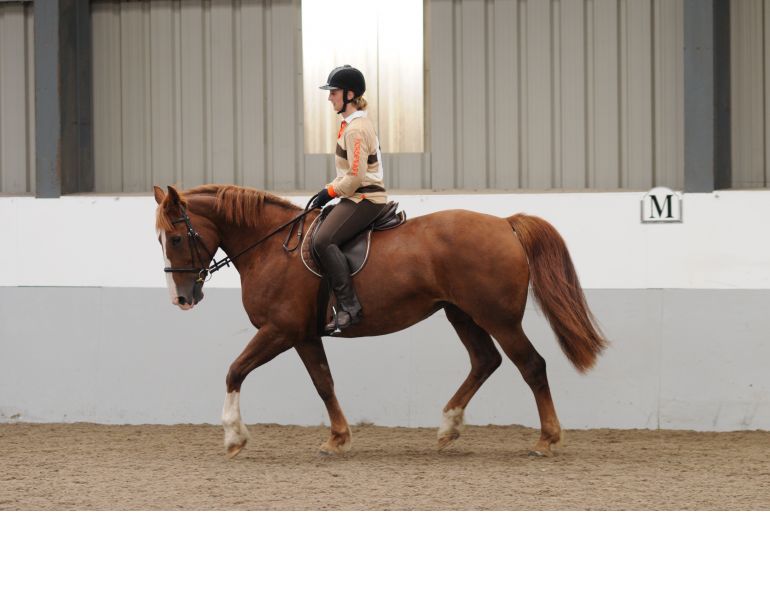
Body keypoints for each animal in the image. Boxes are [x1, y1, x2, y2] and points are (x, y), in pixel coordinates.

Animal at [154, 184, 606, 458]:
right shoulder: (303, 335)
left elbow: (235, 370)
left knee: (531, 365)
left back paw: (546, 440)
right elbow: (323, 383)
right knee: (485, 361)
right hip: (461, 313)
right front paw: (338, 438)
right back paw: (448, 427)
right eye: (159, 239)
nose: (181, 298)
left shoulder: (279, 331)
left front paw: (234, 436)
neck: (271, 248)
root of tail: (504, 224)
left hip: (498, 317)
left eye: (175, 238)